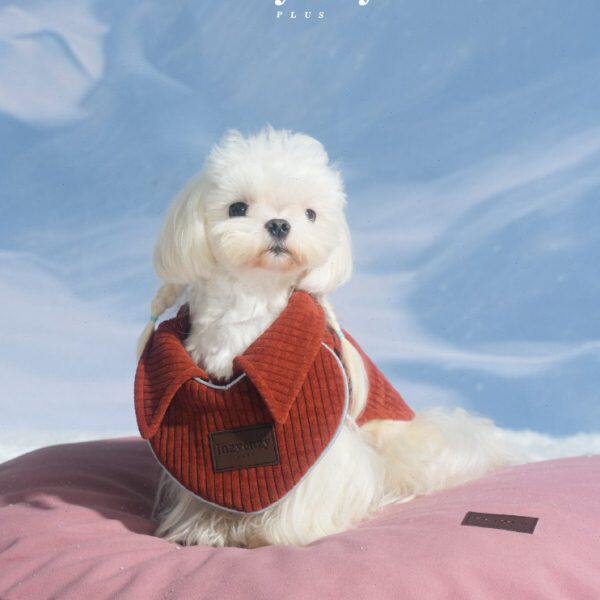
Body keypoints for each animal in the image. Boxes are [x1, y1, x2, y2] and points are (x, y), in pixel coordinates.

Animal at [136, 127, 516, 548]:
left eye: (310, 214)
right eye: (237, 208)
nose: (280, 224)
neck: (250, 303)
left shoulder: (323, 432)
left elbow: (308, 488)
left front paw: (278, 532)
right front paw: (208, 526)